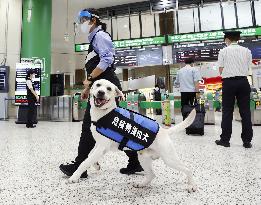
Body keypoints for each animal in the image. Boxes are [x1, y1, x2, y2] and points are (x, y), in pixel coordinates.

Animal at [68, 79, 196, 192]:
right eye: (98, 85)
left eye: (109, 88)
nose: (101, 92)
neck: (104, 113)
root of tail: (164, 131)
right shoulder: (99, 145)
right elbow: (89, 156)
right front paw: (96, 165)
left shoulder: (102, 146)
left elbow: (84, 162)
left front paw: (74, 177)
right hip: (144, 158)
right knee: (152, 175)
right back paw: (141, 184)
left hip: (169, 159)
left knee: (188, 169)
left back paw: (191, 186)